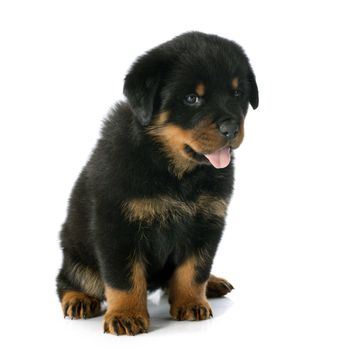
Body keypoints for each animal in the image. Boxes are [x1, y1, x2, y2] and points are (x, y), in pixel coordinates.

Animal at [56, 31, 258, 334]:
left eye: (237, 93)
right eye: (191, 98)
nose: (231, 128)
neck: (175, 171)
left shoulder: (208, 222)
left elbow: (194, 270)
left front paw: (191, 303)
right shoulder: (117, 226)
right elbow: (124, 279)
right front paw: (126, 315)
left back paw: (212, 283)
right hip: (74, 250)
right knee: (68, 279)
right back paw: (78, 299)